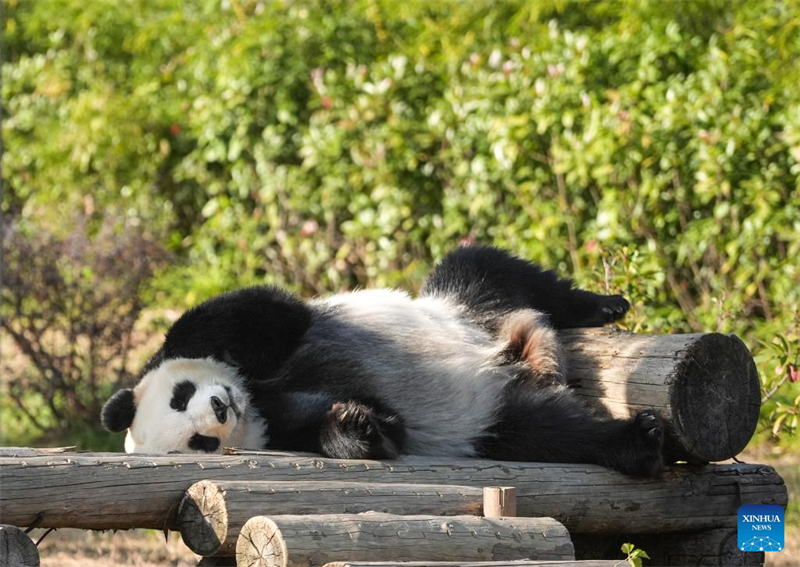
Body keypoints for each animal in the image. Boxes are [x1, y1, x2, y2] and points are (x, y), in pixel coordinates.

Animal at [101, 246, 664, 477]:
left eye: (182, 396)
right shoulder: (282, 425)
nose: (220, 408)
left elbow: (258, 313)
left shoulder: (261, 335)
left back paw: (603, 305)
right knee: (553, 431)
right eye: (199, 442)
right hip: (498, 415)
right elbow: (381, 427)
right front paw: (357, 424)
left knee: (490, 266)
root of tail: (516, 348)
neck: (258, 398)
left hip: (463, 303)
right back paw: (636, 442)